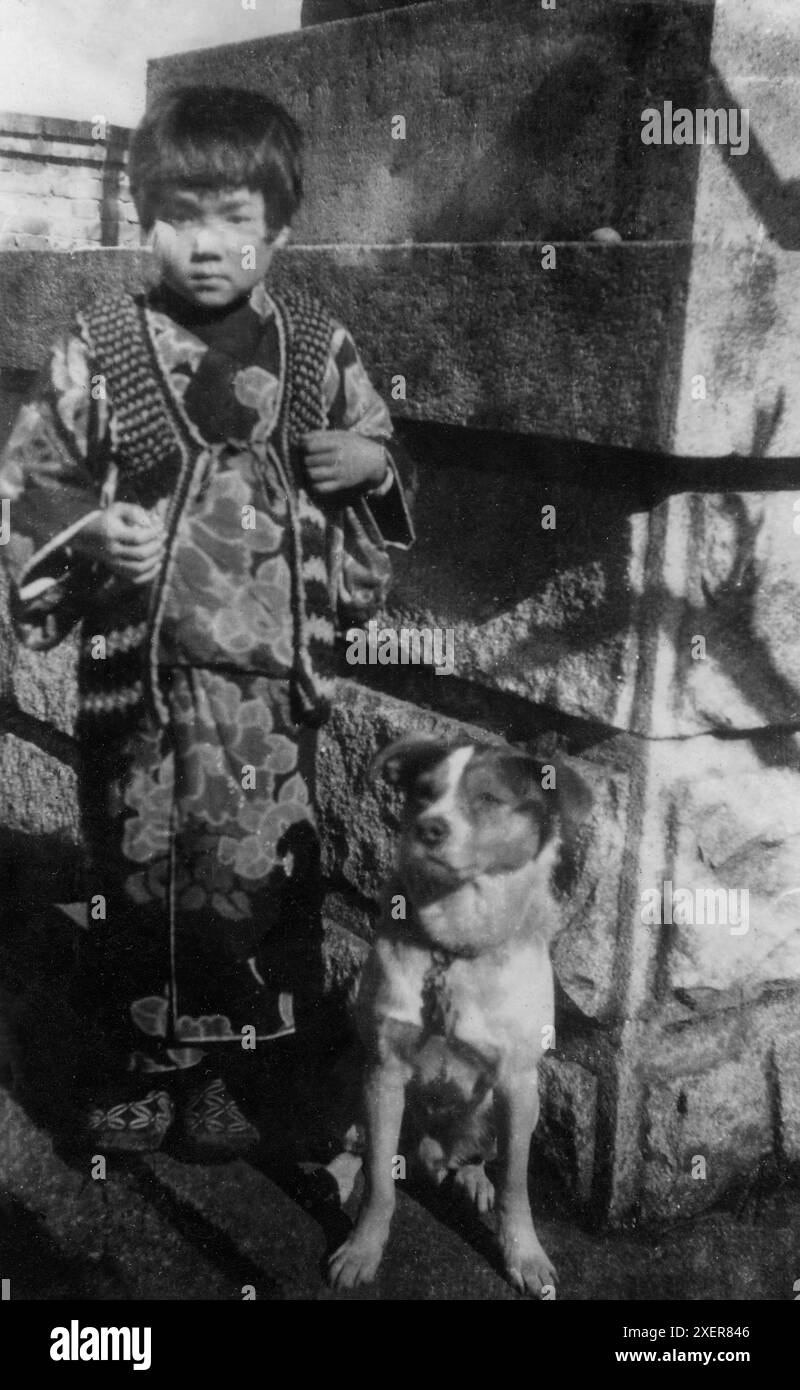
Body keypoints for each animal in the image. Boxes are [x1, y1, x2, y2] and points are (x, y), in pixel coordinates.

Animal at [327, 733, 591, 1295]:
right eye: (424, 793)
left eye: (488, 799)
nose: (429, 828)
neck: (455, 946)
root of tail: (431, 1151)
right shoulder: (384, 1071)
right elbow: (379, 1182)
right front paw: (362, 1248)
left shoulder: (517, 1083)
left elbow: (516, 1185)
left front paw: (524, 1255)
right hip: (351, 1076)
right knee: (356, 1144)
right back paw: (337, 1174)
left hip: (512, 1109)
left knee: (480, 1158)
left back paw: (471, 1179)